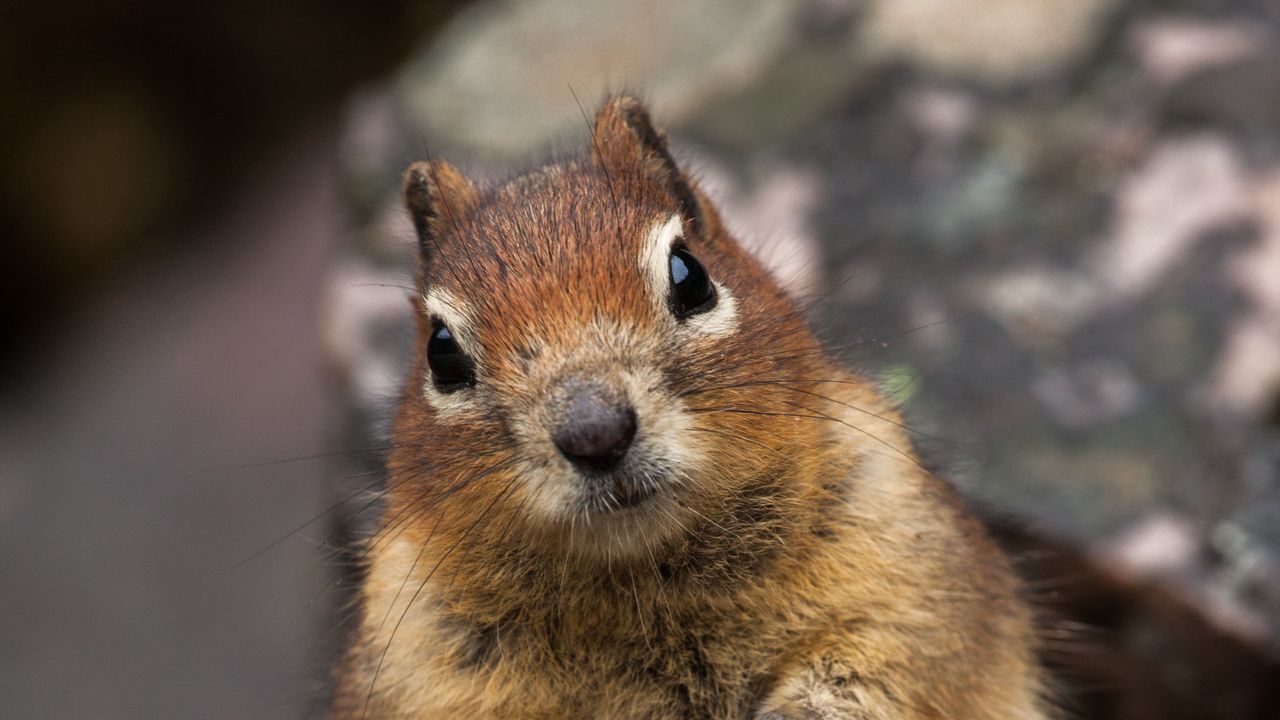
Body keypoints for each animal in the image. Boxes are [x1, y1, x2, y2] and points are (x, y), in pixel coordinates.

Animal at [331, 96, 1048, 719]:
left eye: (690, 275)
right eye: (441, 351)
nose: (595, 432)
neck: (651, 578)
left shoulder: (911, 568)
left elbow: (887, 661)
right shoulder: (421, 659)